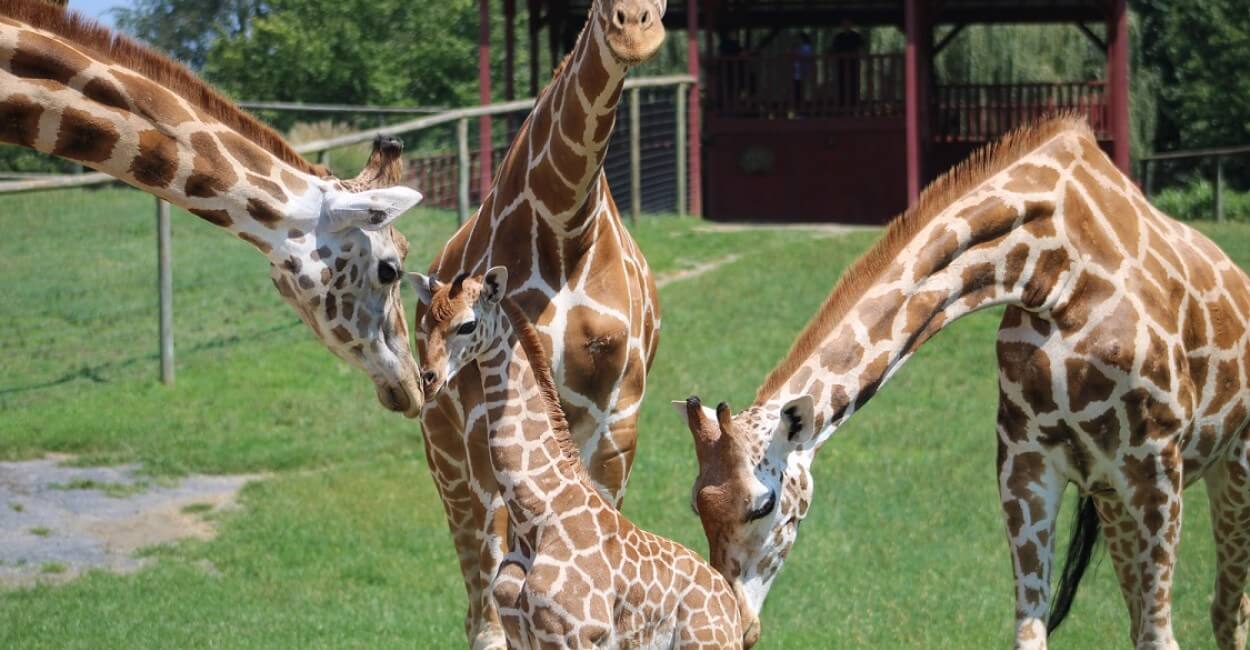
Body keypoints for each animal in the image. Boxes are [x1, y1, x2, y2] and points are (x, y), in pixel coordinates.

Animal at [410, 265, 740, 650]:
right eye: (426, 323)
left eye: (467, 324)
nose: (428, 380)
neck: (536, 517)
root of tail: (731, 608)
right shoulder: (520, 635)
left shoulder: (574, 634)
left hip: (705, 643)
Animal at [415, 0, 670, 645]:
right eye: (600, 8)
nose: (635, 27)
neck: (564, 224)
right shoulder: (481, 416)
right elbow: (497, 592)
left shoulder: (618, 411)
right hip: (444, 453)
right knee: (475, 590)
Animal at [675, 118, 1250, 650]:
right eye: (697, 504)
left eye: (764, 504)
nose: (739, 626)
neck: (1051, 273)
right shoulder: (1027, 465)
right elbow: (1031, 631)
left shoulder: (1154, 467)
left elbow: (1162, 636)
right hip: (1111, 497)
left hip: (1229, 466)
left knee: (1225, 607)